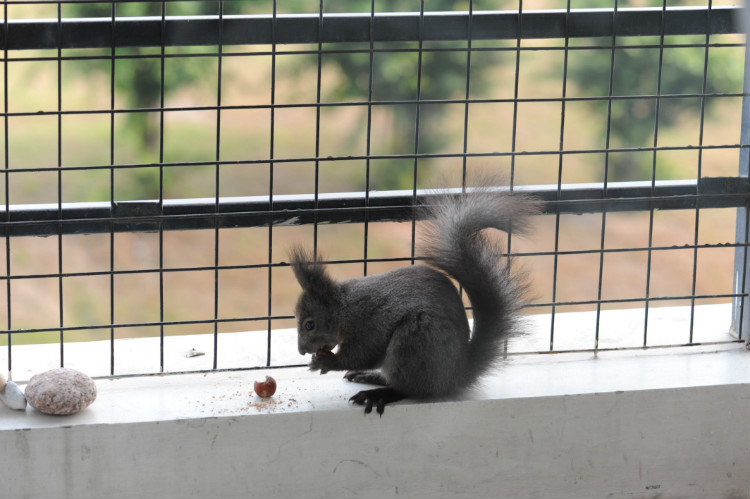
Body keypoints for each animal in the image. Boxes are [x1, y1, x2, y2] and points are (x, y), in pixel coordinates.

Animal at [288, 182, 540, 416]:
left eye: (309, 325)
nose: (301, 350)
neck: (344, 309)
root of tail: (455, 376)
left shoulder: (368, 325)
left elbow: (362, 353)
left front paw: (326, 362)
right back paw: (372, 377)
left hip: (413, 342)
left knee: (409, 388)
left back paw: (378, 393)